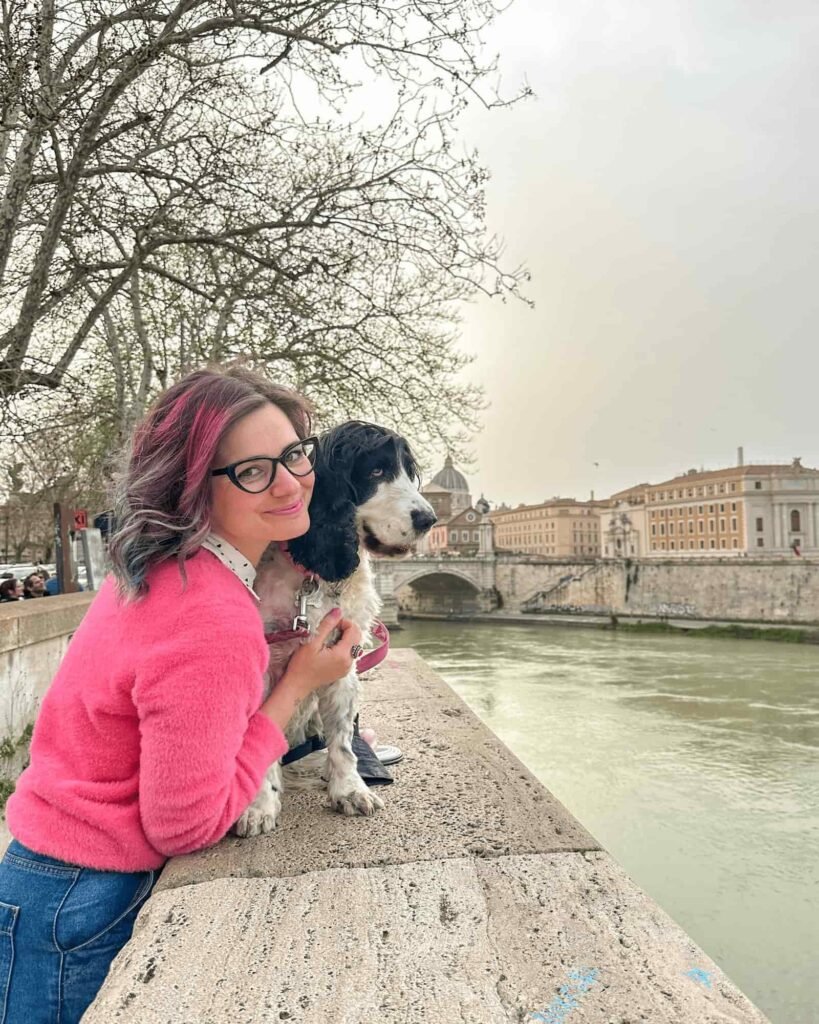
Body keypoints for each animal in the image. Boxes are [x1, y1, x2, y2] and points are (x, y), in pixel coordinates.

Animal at [233, 419, 438, 835]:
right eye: (375, 471)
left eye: (408, 471)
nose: (429, 519)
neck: (312, 576)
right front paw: (259, 806)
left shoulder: (342, 660)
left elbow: (342, 739)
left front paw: (349, 789)